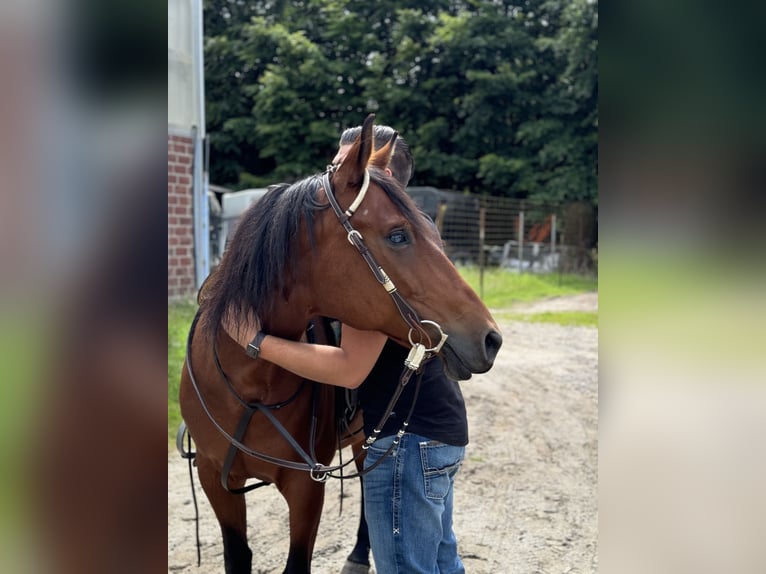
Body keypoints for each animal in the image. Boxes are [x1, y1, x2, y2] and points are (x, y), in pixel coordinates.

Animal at [178, 114, 502, 574]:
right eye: (399, 235)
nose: (490, 338)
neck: (247, 384)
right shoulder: (214, 479)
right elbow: (237, 556)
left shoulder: (305, 486)